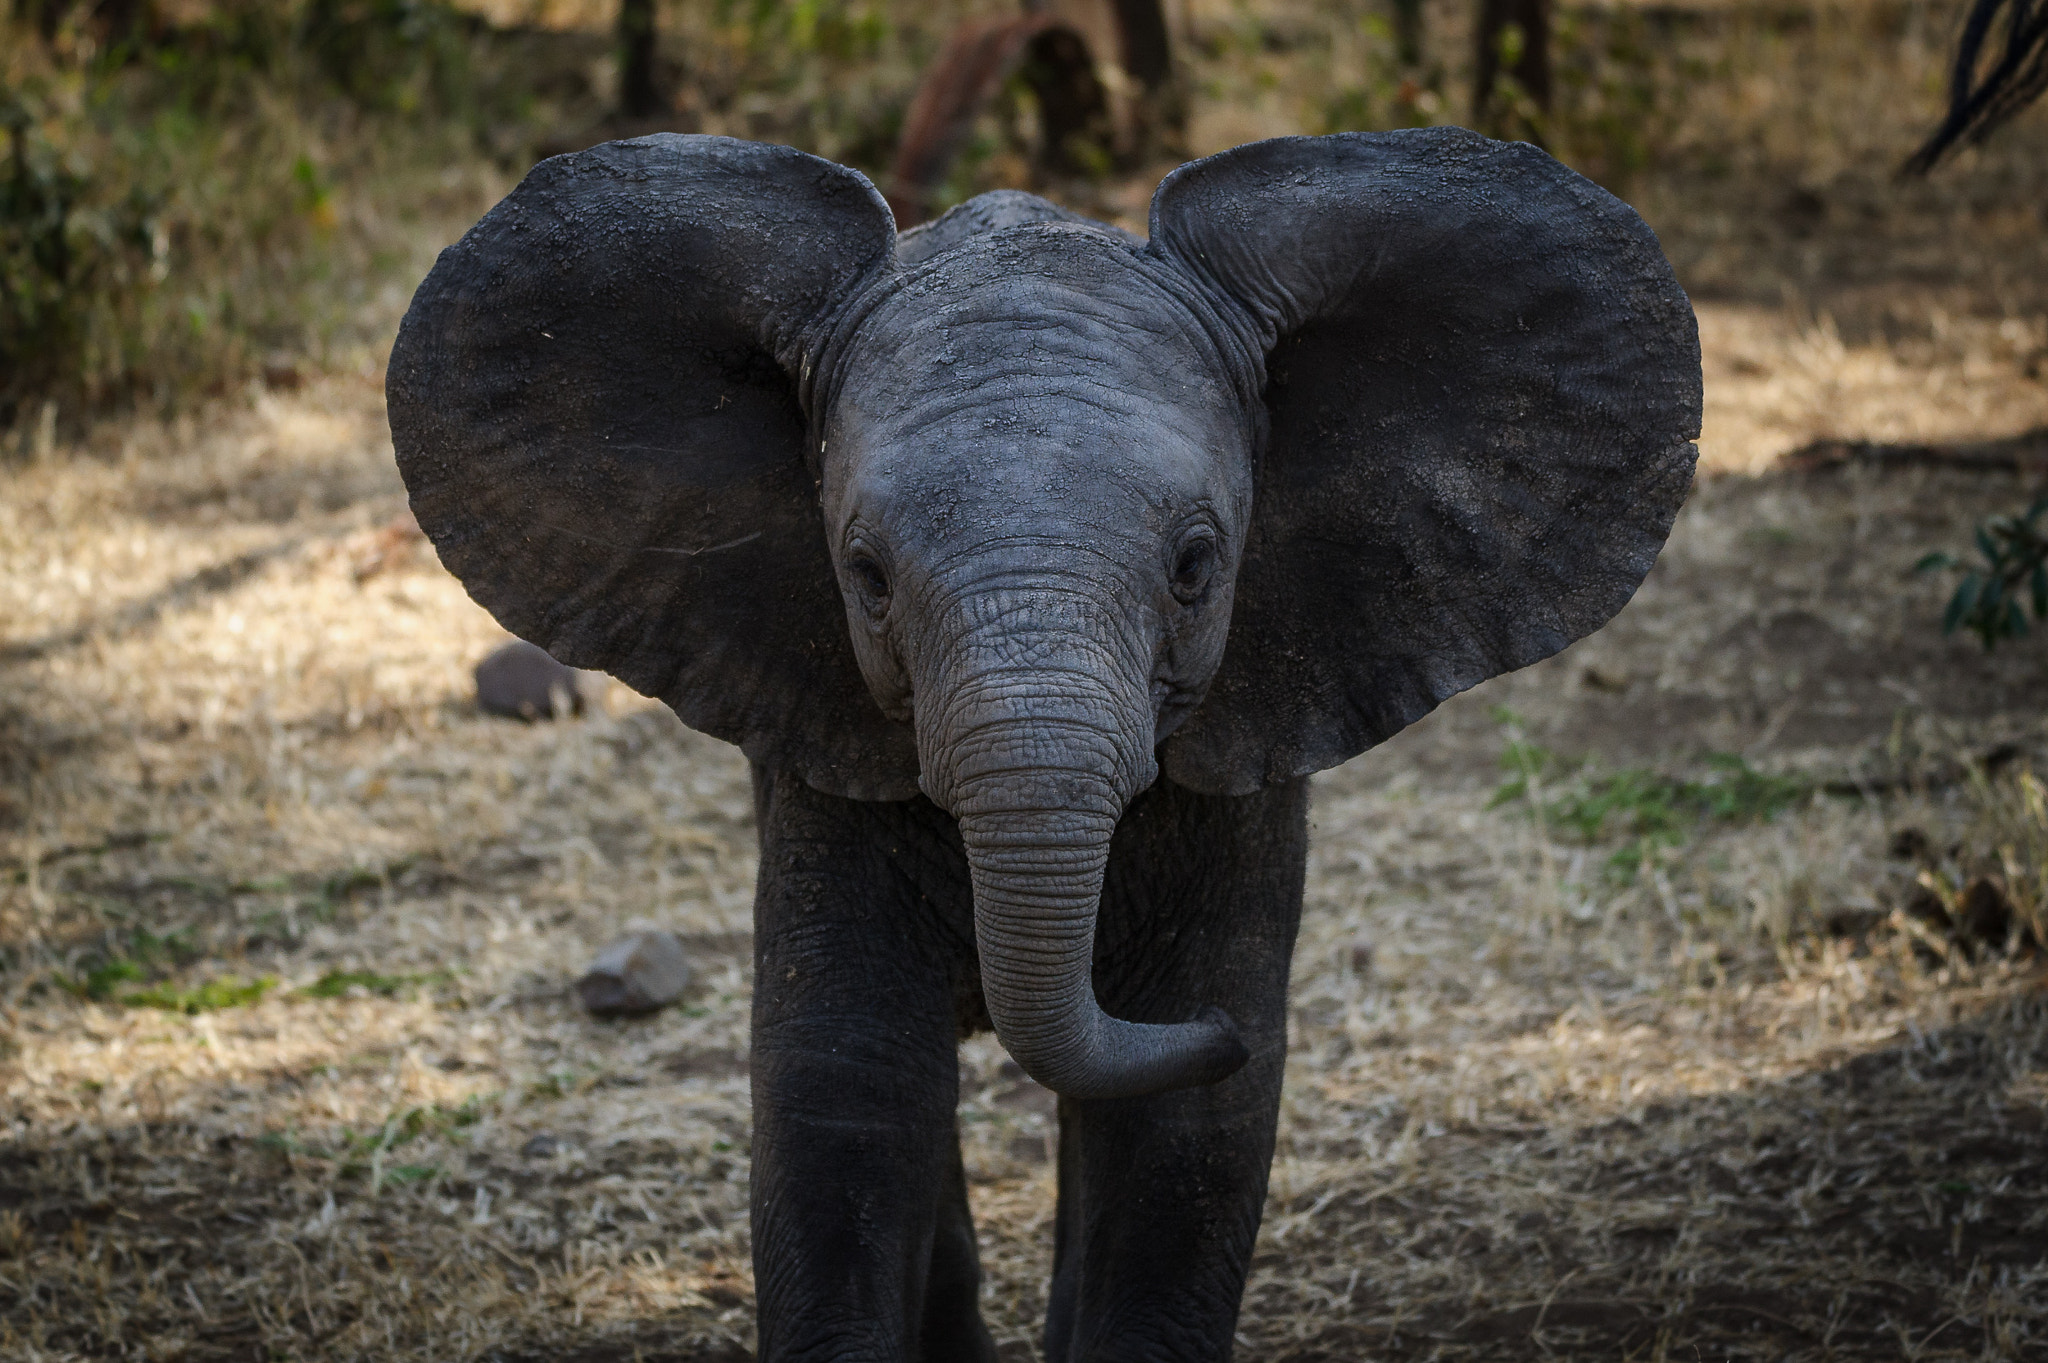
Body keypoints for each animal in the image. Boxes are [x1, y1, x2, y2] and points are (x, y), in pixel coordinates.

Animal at [386, 127, 1700, 1362]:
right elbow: (843, 1087)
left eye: (1195, 564)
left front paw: (1210, 1041)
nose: (1208, 1040)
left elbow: (1188, 1138)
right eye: (865, 575)